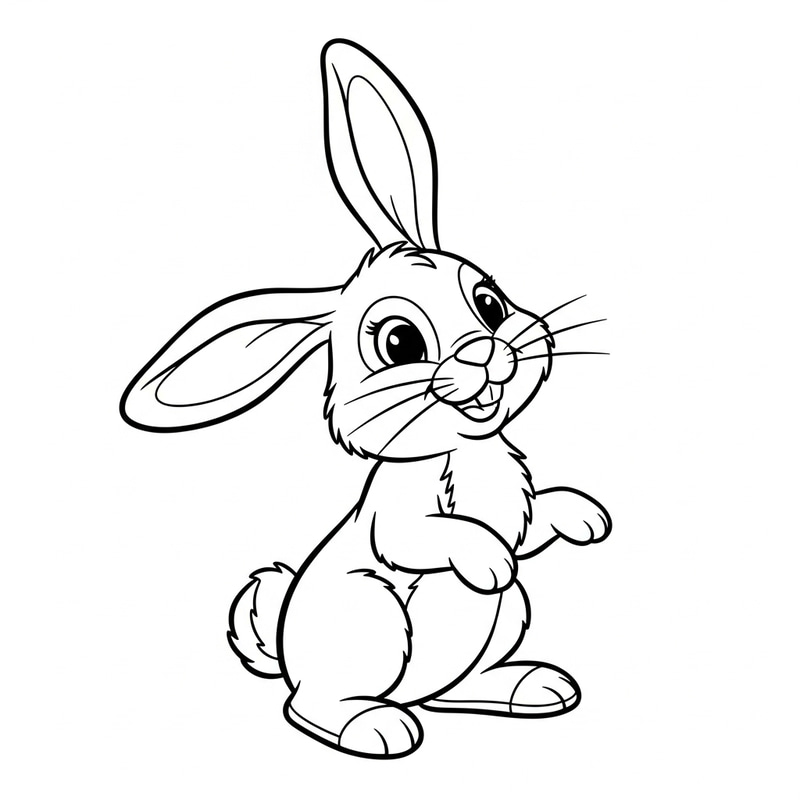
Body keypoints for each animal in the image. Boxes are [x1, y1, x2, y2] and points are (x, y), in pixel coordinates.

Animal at [120, 39, 611, 759]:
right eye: (400, 342)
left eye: (489, 303)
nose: (483, 351)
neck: (464, 452)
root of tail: (287, 656)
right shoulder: (394, 523)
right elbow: (430, 536)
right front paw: (488, 558)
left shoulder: (518, 512)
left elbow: (537, 521)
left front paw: (585, 517)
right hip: (370, 614)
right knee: (309, 708)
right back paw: (374, 726)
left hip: (505, 620)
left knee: (453, 687)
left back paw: (527, 687)